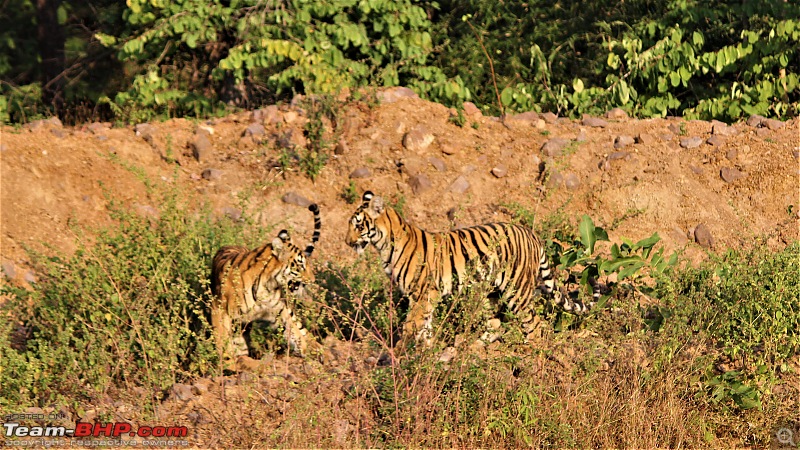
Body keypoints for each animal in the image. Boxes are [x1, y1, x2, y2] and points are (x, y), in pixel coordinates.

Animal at [212, 205, 324, 366]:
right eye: (301, 265)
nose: (313, 280)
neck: (266, 286)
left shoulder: (280, 310)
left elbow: (295, 330)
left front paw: (306, 349)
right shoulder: (219, 308)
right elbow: (222, 340)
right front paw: (228, 365)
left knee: (302, 330)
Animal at [346, 190, 596, 348]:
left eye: (358, 225)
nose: (347, 242)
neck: (384, 245)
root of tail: (531, 233)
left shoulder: (421, 294)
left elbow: (411, 327)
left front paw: (398, 354)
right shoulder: (427, 297)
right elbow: (425, 328)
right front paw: (425, 354)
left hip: (517, 290)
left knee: (534, 324)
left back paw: (528, 353)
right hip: (490, 291)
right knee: (495, 324)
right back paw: (472, 348)